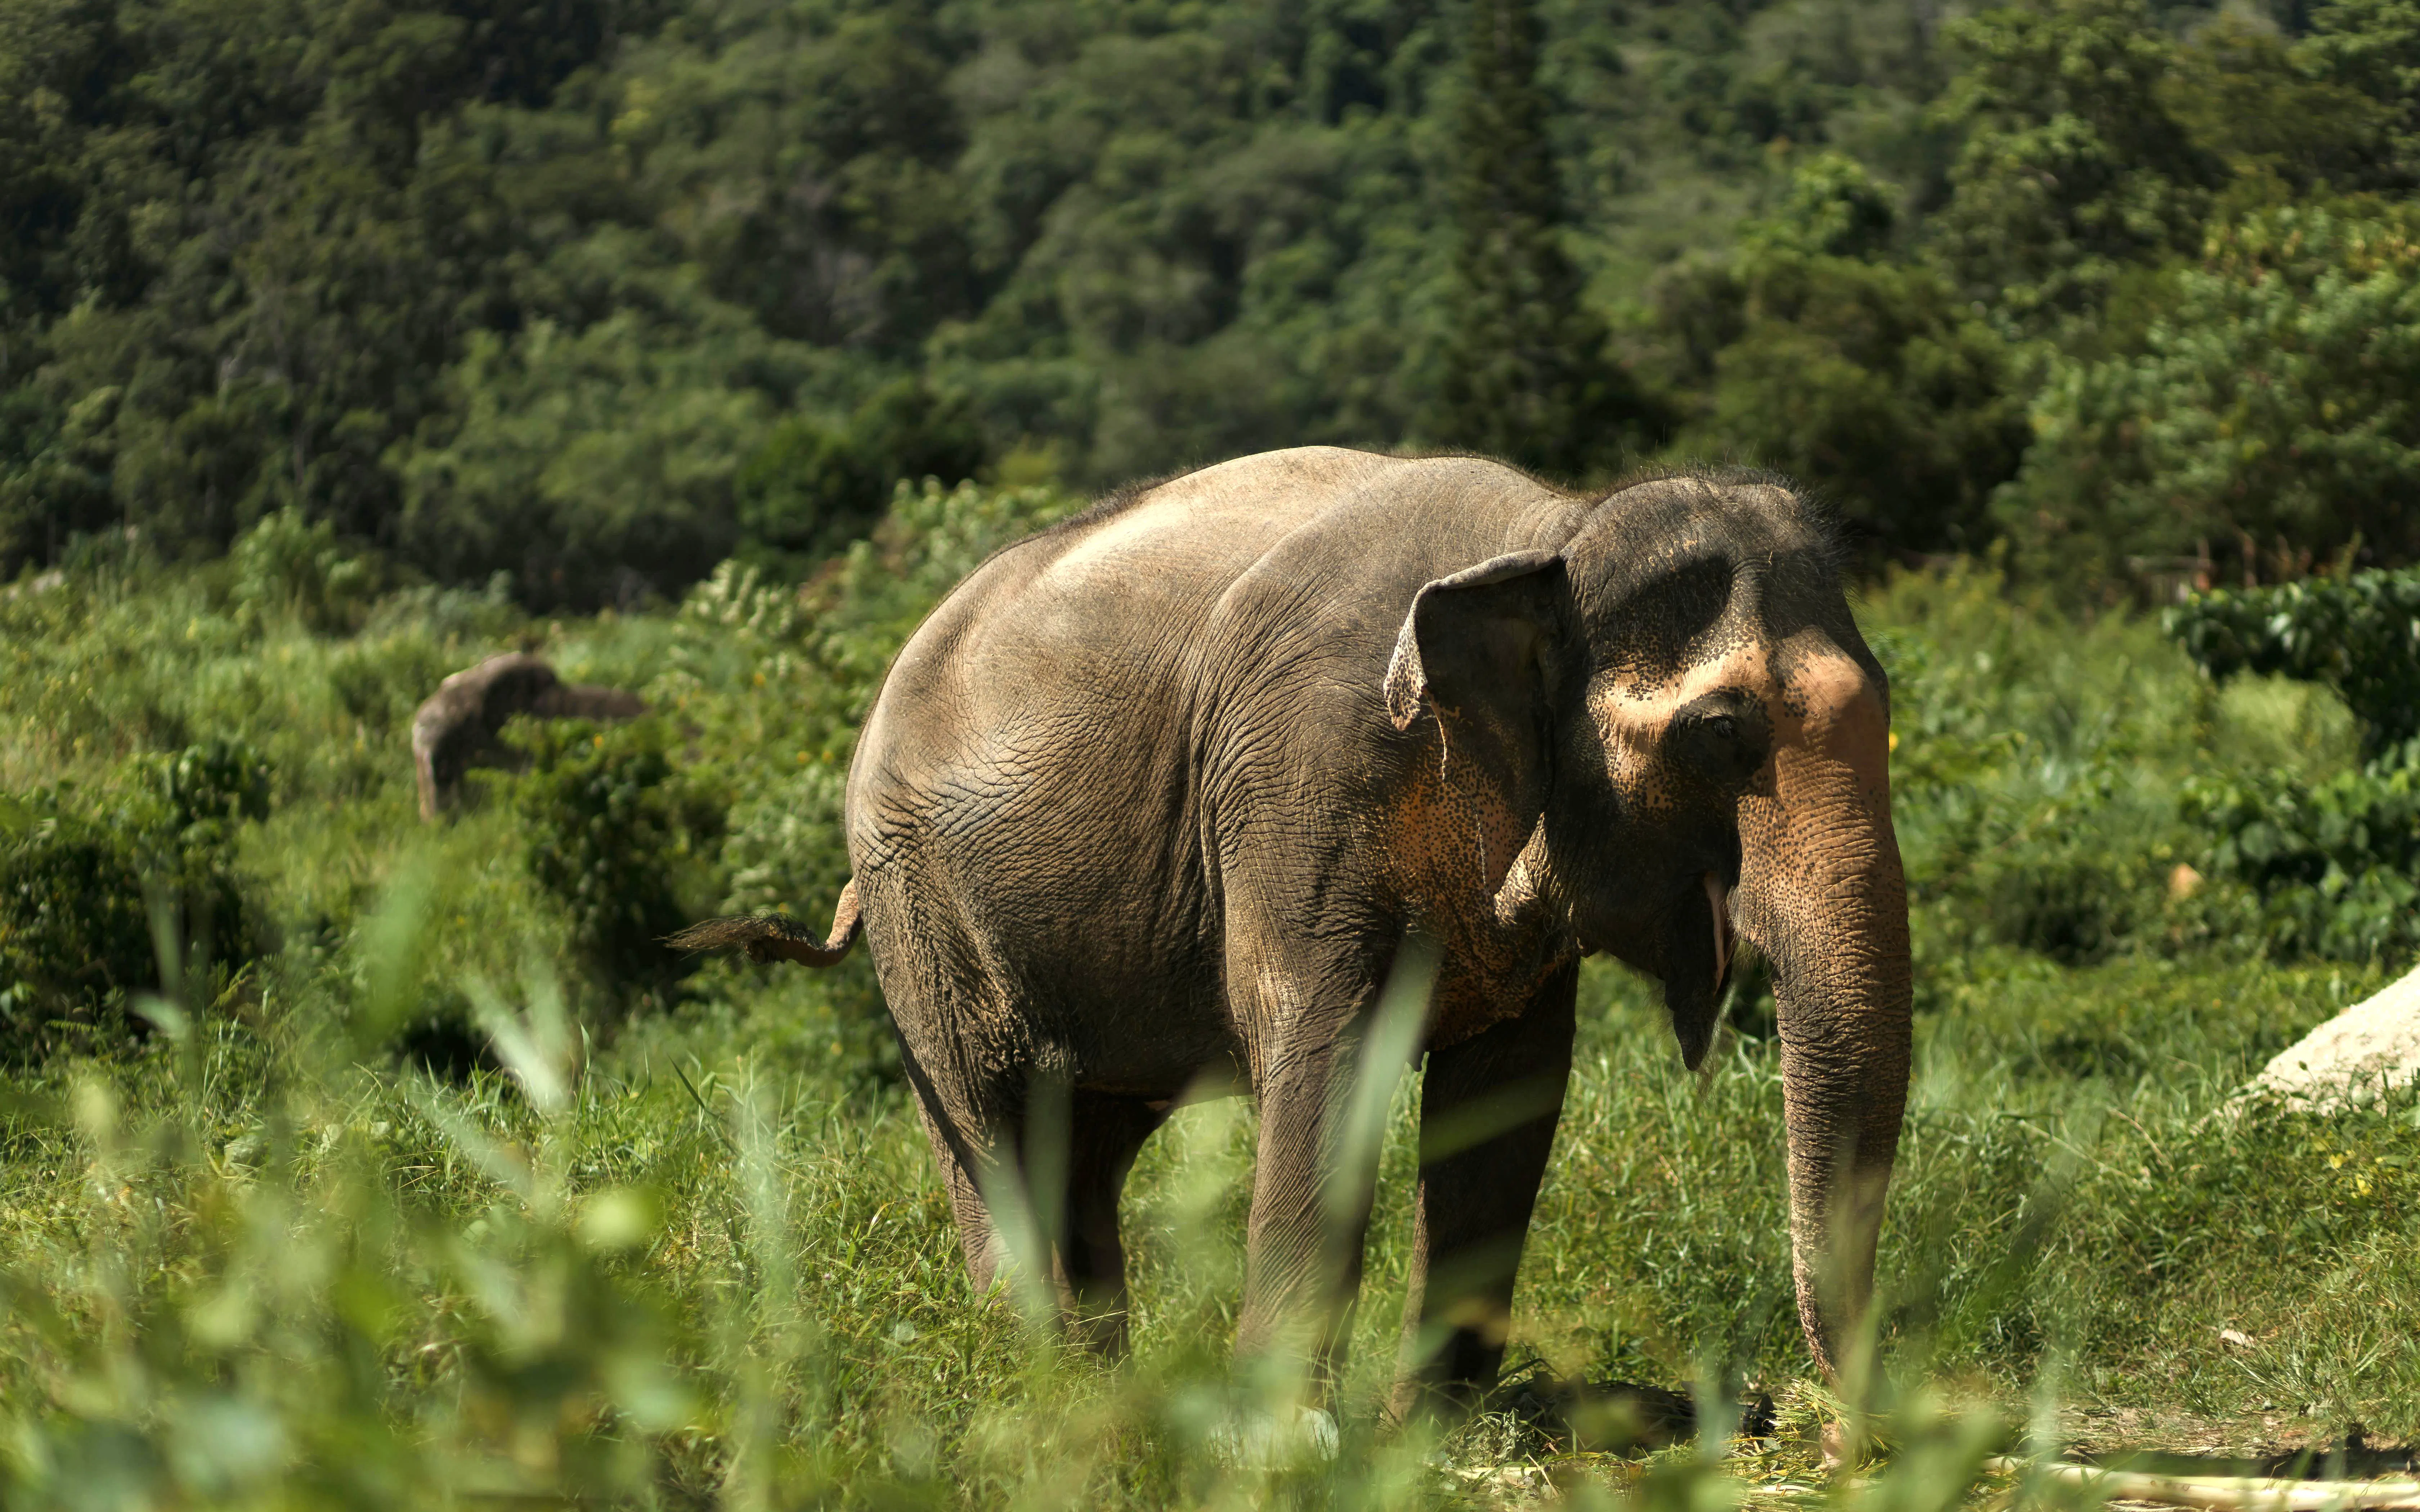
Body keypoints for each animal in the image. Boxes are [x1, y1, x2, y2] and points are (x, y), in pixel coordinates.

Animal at [674, 447, 1910, 1416]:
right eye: (1717, 733)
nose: (1830, 1420)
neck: (1550, 531)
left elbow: (1508, 1095)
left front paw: (1429, 1430)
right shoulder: (1295, 790)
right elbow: (1325, 1059)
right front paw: (1280, 1429)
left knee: (1081, 1150)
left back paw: (1102, 1400)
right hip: (916, 906)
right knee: (990, 1130)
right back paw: (1043, 1395)